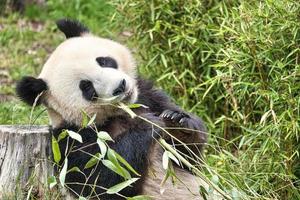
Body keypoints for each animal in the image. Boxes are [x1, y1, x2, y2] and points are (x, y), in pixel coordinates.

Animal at [15, 19, 211, 200]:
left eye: (103, 61)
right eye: (86, 87)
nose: (120, 87)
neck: (120, 113)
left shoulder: (148, 97)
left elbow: (188, 159)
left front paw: (178, 123)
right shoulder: (69, 139)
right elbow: (101, 179)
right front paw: (146, 125)